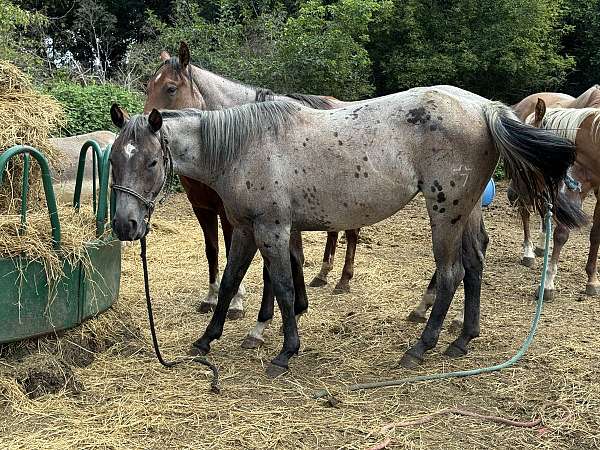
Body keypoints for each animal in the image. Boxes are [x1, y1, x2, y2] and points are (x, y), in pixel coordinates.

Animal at [109, 85, 580, 376]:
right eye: (113, 159)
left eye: (152, 161)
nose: (125, 225)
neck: (244, 146)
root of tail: (483, 108)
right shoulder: (244, 229)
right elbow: (229, 283)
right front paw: (206, 341)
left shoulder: (273, 230)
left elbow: (282, 286)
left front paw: (285, 351)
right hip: (464, 212)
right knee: (475, 261)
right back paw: (463, 339)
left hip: (444, 212)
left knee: (451, 274)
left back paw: (420, 347)